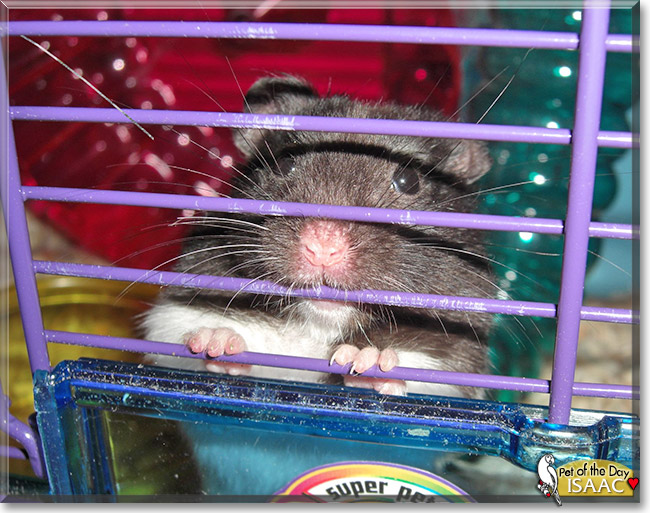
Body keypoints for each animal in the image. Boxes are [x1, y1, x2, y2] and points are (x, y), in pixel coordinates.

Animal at [141, 75, 495, 399]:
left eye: (408, 179)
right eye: (284, 163)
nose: (323, 246)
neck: (317, 327)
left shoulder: (455, 361)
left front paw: (369, 362)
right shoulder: (174, 314)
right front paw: (216, 343)